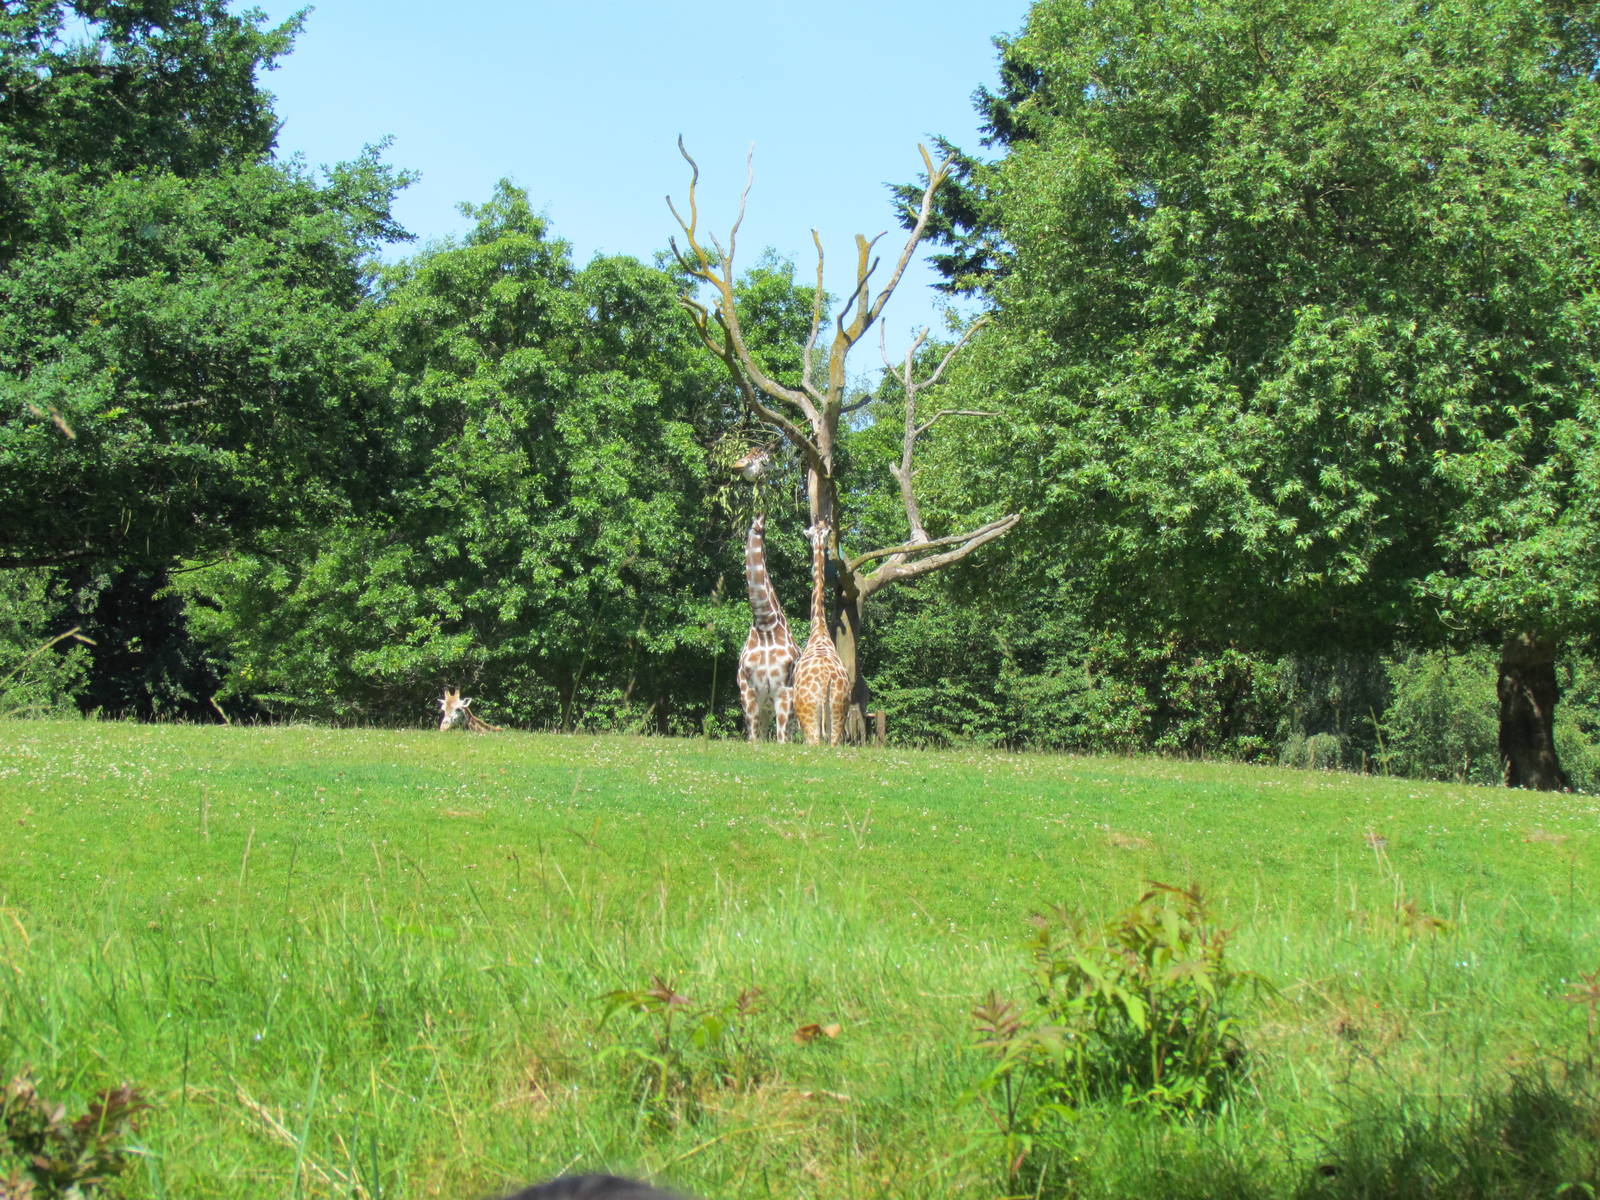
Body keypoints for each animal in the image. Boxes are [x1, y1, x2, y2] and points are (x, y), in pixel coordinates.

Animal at [737, 513, 799, 742]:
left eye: (762, 528)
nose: (755, 529)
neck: (766, 625)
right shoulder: (748, 692)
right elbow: (753, 739)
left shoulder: (784, 690)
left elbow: (781, 740)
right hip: (764, 704)